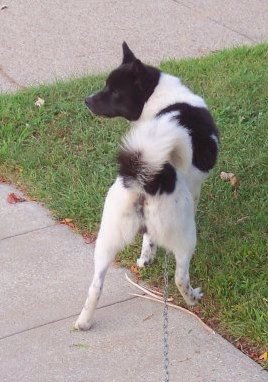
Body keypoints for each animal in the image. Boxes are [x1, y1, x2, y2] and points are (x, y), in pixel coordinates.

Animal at [74, 41, 219, 328]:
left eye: (114, 91)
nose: (86, 101)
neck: (158, 97)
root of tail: (144, 176)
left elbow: (148, 240)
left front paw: (145, 259)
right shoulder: (195, 188)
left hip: (107, 236)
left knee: (96, 284)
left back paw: (84, 322)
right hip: (185, 235)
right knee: (179, 277)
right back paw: (193, 299)